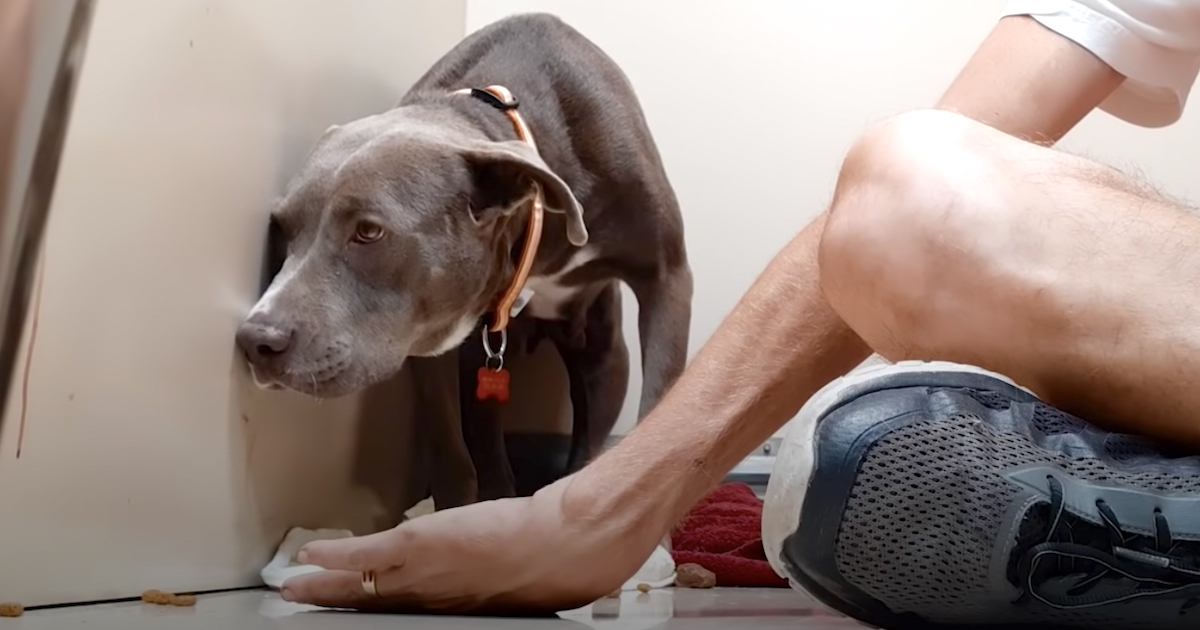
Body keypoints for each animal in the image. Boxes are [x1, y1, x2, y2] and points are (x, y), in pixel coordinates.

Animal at [235, 12, 696, 506]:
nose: (256, 340)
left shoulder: (667, 275)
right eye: (281, 228)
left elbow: (661, 399)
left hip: (606, 359)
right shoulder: (429, 334)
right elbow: (451, 448)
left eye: (369, 231)